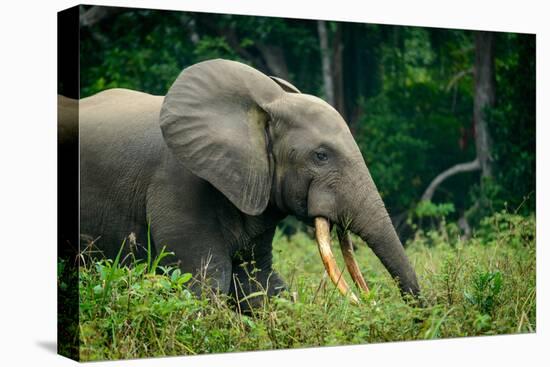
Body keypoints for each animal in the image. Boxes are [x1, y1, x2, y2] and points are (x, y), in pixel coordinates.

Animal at [70, 59, 422, 310]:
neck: (262, 108)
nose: (419, 315)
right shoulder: (177, 184)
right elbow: (207, 281)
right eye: (321, 156)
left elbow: (259, 281)